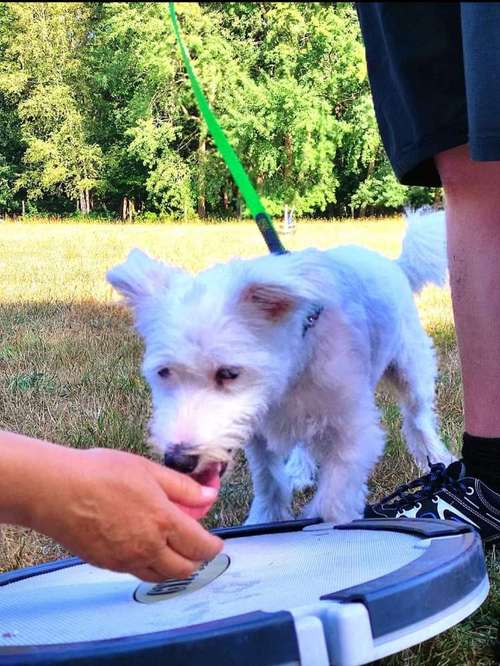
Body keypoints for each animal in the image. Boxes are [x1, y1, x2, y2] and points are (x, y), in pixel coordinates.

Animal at [108, 210, 454, 520]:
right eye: (164, 372)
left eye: (229, 374)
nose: (179, 461)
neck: (293, 373)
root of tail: (395, 264)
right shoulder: (259, 435)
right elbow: (270, 483)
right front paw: (265, 520)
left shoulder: (354, 432)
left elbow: (333, 500)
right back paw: (300, 469)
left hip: (412, 371)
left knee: (418, 420)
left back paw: (437, 458)